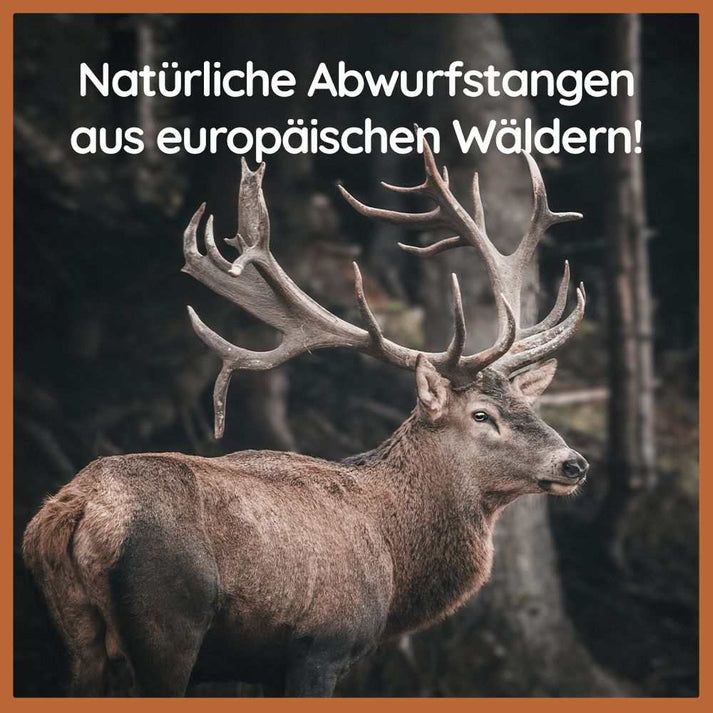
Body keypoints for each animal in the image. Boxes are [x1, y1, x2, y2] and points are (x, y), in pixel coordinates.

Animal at [23, 142, 589, 697]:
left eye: (528, 406)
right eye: (481, 415)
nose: (574, 463)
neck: (395, 561)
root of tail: (76, 510)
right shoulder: (323, 644)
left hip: (74, 638)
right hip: (168, 623)